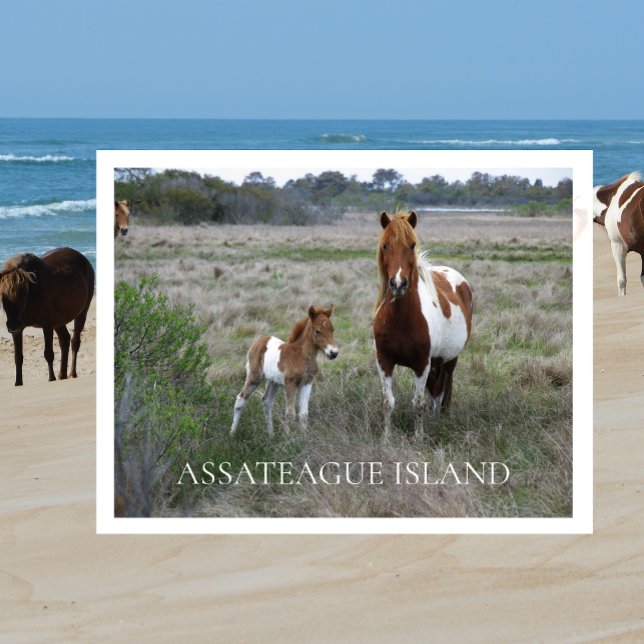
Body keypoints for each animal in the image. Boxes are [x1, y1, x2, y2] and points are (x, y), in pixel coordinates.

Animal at [0, 247, 95, 386]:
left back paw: (72, 373)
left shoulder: (47, 324)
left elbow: (48, 353)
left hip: (82, 312)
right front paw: (18, 382)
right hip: (59, 321)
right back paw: (62, 374)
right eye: (3, 296)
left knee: (75, 342)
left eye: (23, 294)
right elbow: (18, 357)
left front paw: (51, 377)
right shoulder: (18, 329)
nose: (12, 325)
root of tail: (85, 260)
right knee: (64, 340)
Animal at [230, 305, 339, 436]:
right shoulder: (290, 383)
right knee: (241, 399)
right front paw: (290, 438)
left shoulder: (307, 382)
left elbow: (303, 414)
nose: (333, 353)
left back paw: (271, 435)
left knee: (266, 401)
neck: (301, 356)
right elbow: (290, 414)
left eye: (332, 330)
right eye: (317, 331)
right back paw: (232, 434)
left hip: (273, 382)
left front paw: (304, 437)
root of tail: (259, 341)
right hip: (254, 377)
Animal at [373, 211, 473, 440]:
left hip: (449, 359)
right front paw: (386, 438)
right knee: (436, 393)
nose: (398, 284)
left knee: (444, 392)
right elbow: (387, 402)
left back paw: (443, 418)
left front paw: (418, 438)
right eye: (385, 246)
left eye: (411, 245)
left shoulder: (421, 364)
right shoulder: (384, 361)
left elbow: (418, 404)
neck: (401, 318)